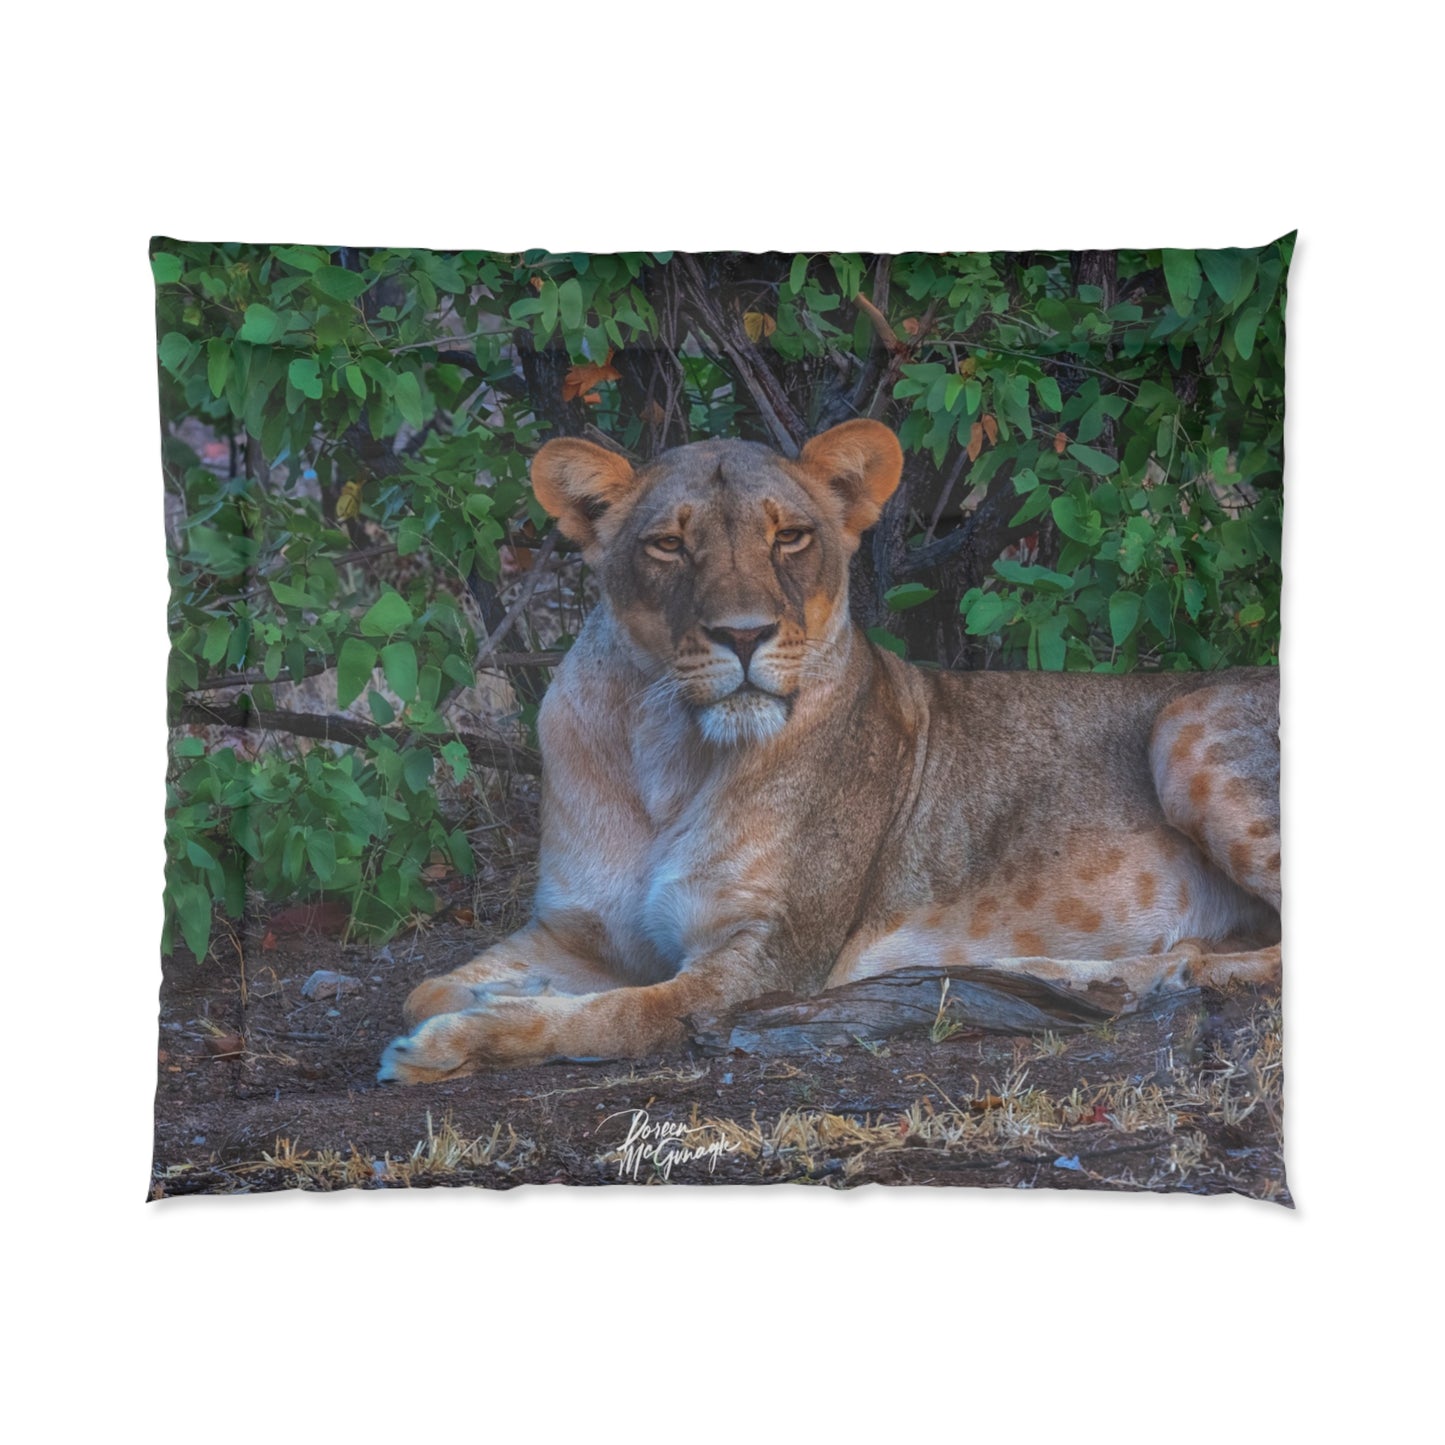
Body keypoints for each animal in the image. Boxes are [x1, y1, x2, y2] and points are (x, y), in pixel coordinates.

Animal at [378, 419, 1280, 1084]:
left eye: (790, 537)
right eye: (668, 544)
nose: (743, 634)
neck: (665, 749)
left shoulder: (760, 963)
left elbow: (617, 1014)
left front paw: (452, 1043)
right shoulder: (574, 932)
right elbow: (424, 988)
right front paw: (466, 1007)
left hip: (1185, 722)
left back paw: (1165, 975)